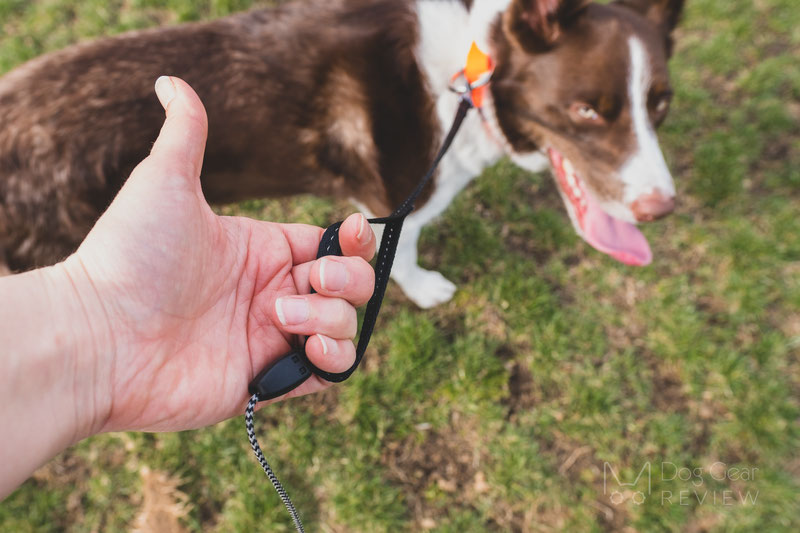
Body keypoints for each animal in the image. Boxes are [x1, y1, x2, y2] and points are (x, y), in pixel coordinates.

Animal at [1, 0, 680, 306]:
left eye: (661, 104)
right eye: (586, 110)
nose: (663, 209)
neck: (469, 80)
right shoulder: (402, 204)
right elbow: (402, 259)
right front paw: (426, 289)